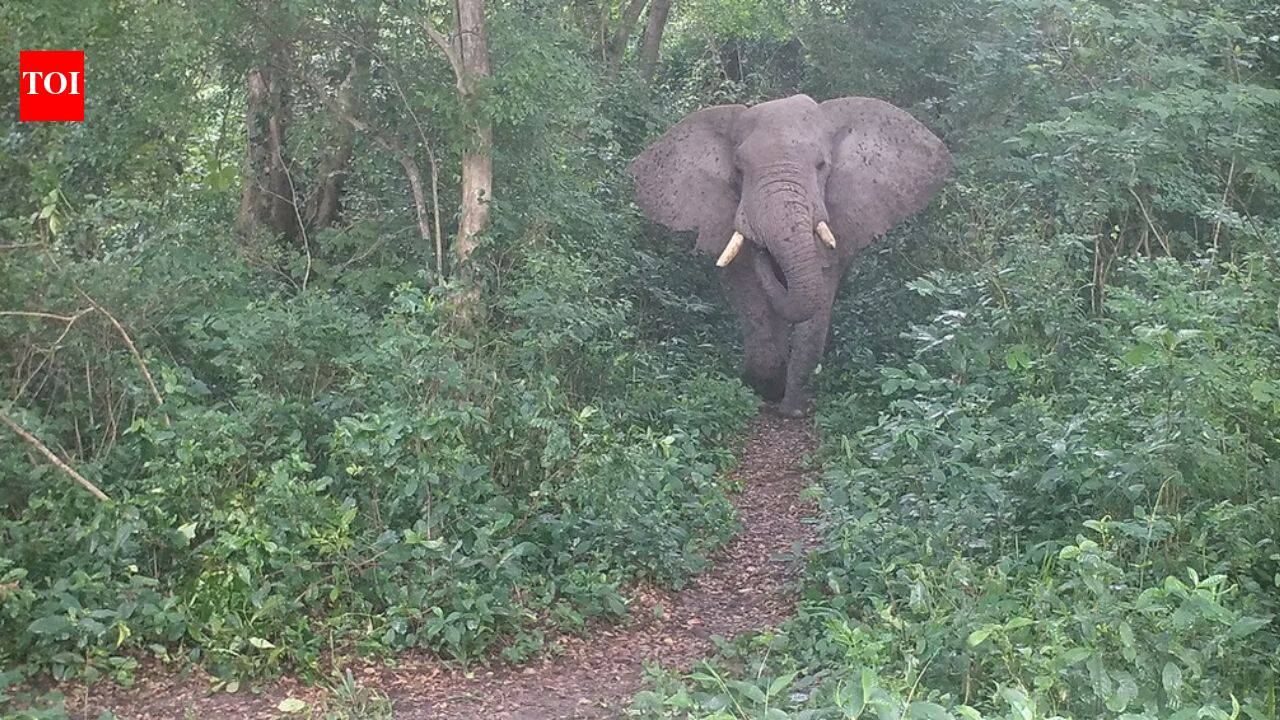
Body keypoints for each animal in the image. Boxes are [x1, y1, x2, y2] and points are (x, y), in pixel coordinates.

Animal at [628, 94, 951, 416]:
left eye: (821, 165)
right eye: (739, 171)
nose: (762, 249)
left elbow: (817, 298)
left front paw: (793, 408)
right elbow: (750, 294)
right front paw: (768, 386)